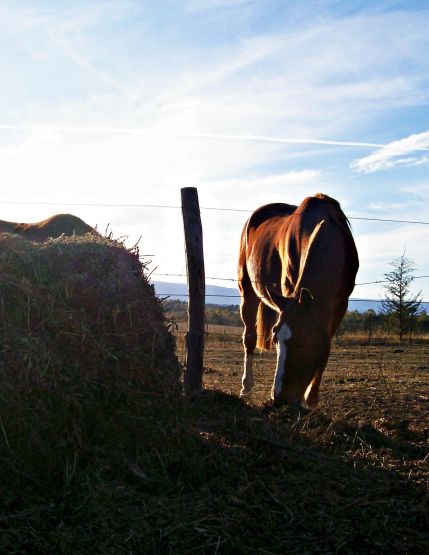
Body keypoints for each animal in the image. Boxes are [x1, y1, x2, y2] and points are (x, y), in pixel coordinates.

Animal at [237, 194, 358, 408]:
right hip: (247, 289)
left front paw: (311, 399)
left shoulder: (340, 306)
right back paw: (246, 388)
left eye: (302, 343)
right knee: (249, 337)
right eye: (276, 340)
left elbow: (326, 347)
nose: (279, 399)